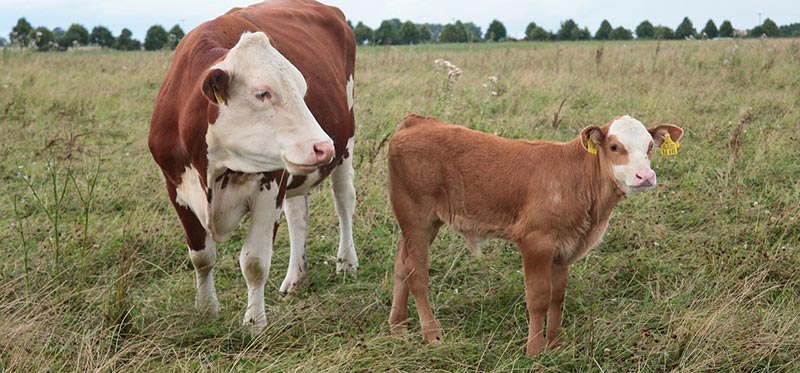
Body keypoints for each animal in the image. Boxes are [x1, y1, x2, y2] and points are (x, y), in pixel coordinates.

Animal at [148, 0, 360, 328]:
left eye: (302, 90)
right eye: (262, 93)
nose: (323, 147)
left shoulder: (270, 184)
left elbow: (255, 262)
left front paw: (255, 324)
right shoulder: (176, 188)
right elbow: (201, 256)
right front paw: (207, 308)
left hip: (345, 143)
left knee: (344, 201)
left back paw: (347, 262)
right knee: (298, 216)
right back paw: (295, 277)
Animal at [386, 113, 680, 354]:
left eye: (650, 147)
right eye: (615, 147)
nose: (645, 176)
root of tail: (417, 122)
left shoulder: (565, 247)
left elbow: (557, 296)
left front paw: (556, 343)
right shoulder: (536, 241)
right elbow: (538, 297)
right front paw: (536, 349)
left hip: (424, 222)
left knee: (401, 263)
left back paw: (398, 326)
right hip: (416, 216)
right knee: (416, 272)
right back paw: (432, 334)